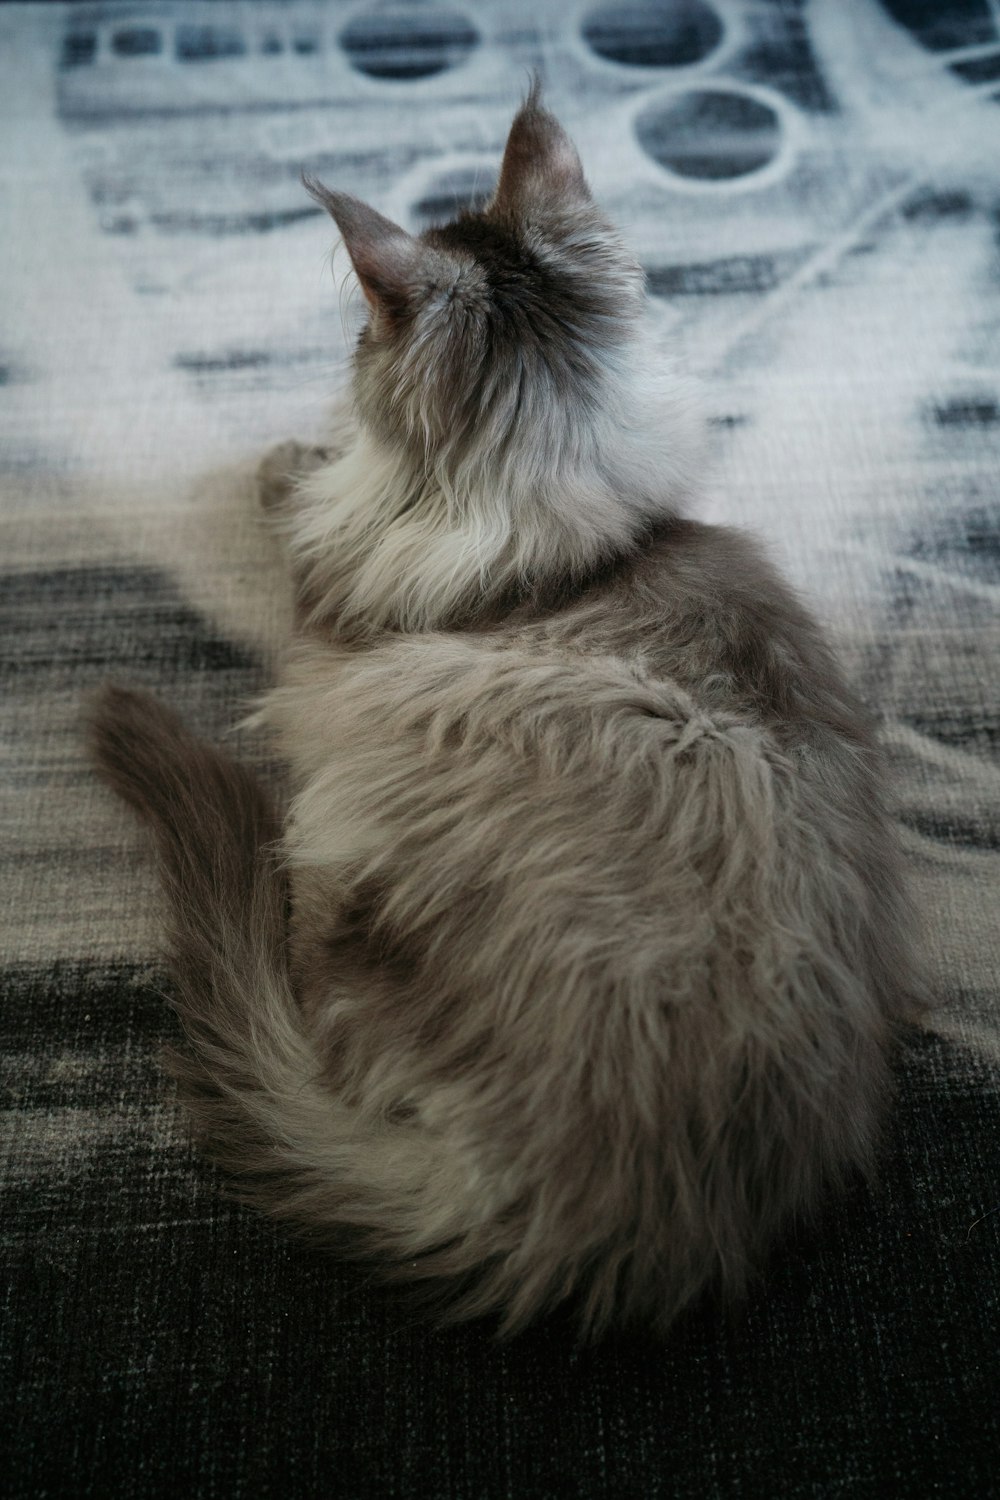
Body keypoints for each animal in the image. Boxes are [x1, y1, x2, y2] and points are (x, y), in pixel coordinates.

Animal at [89, 90, 917, 1338]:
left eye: (361, 340)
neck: (571, 542)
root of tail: (608, 1220)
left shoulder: (335, 591)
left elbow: (300, 502)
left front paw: (278, 463)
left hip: (374, 789)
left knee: (309, 955)